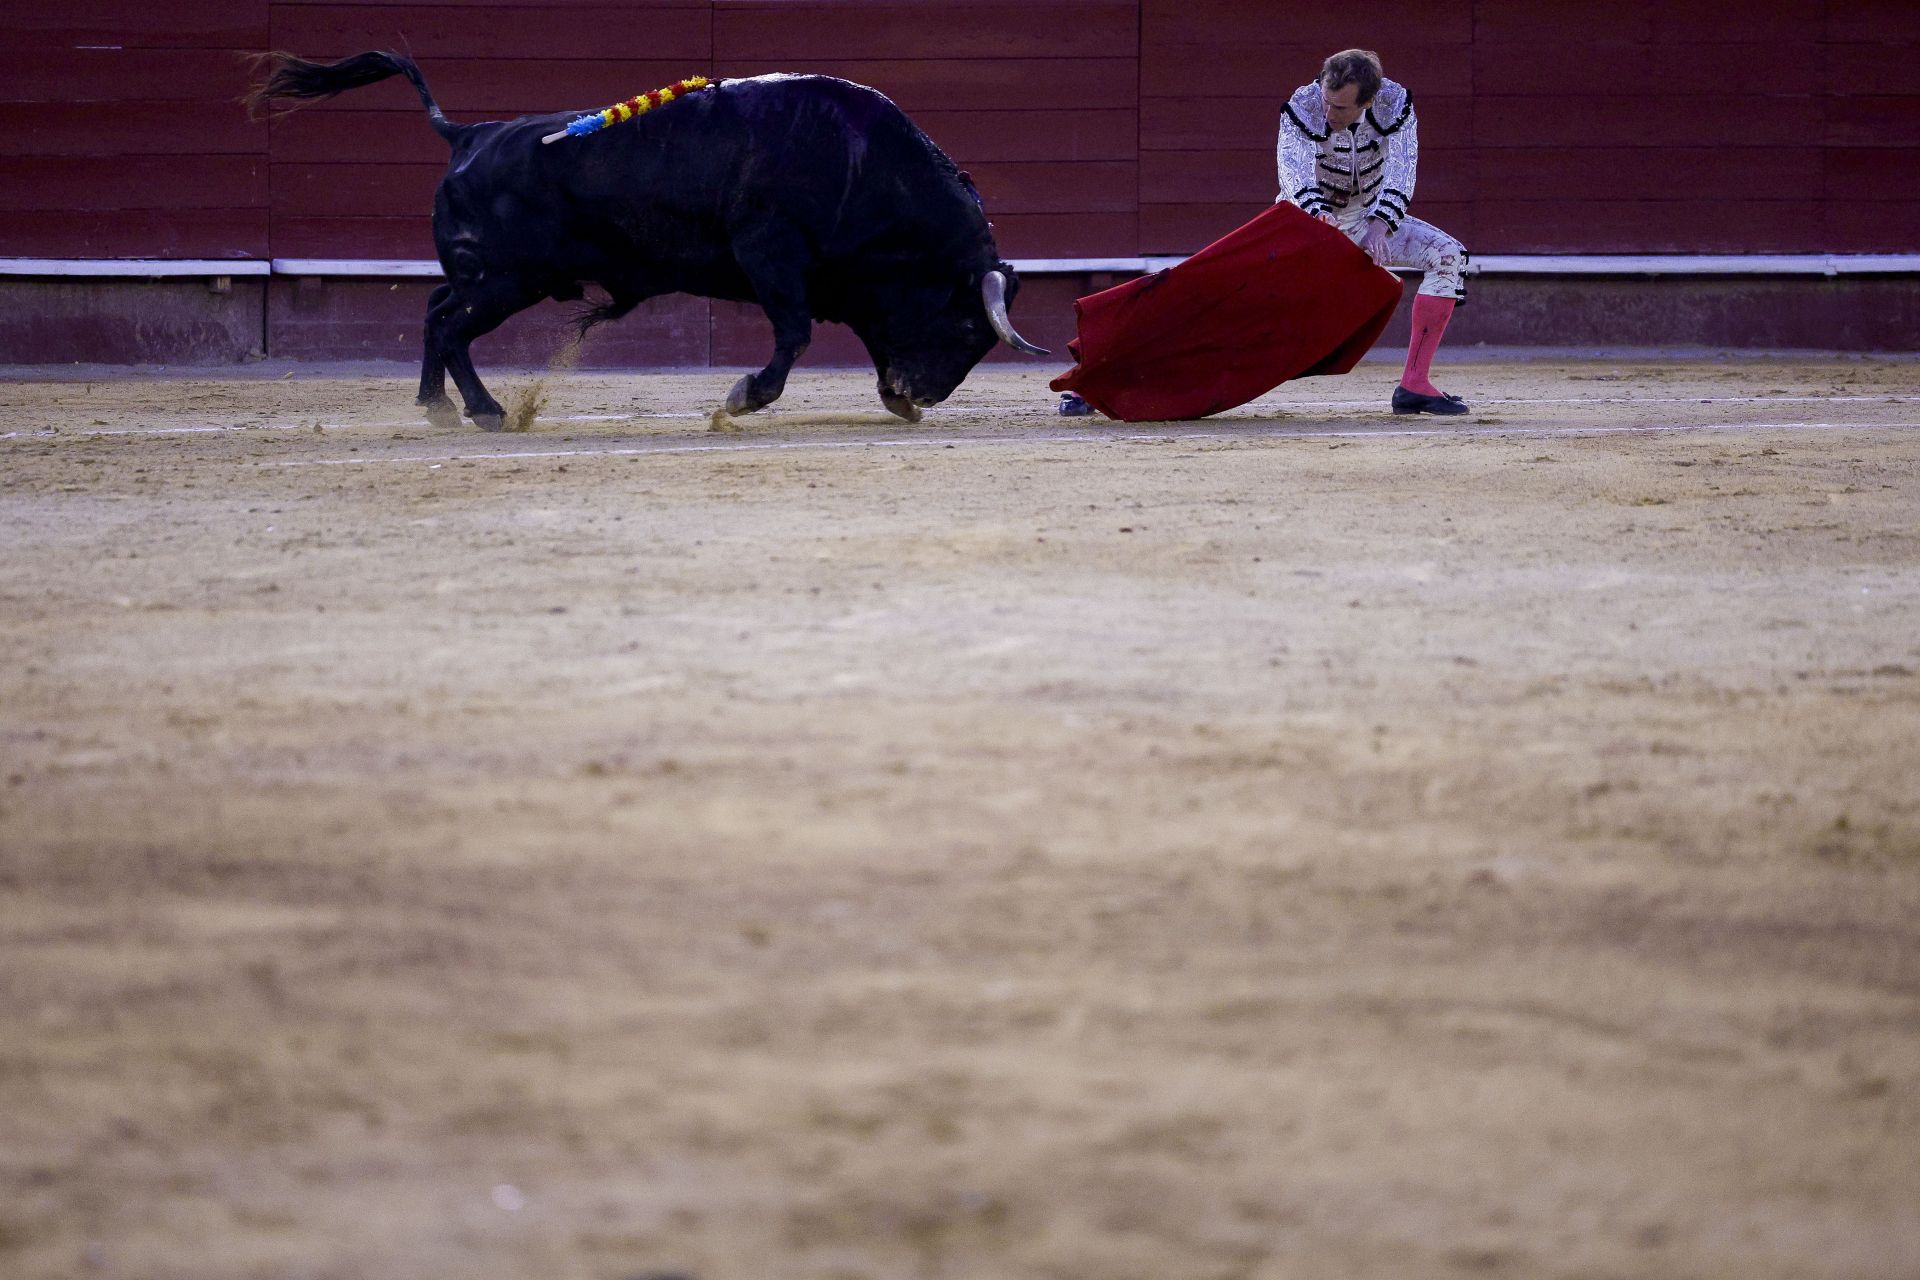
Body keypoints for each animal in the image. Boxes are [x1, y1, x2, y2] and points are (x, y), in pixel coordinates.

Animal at [251, 53, 1052, 429]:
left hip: (487, 275)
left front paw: (893, 401)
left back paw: (437, 406)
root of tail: (465, 136)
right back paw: (484, 411)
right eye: (966, 326)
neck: (864, 166)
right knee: (449, 324)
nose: (927, 393)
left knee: (434, 310)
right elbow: (792, 336)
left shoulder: (837, 280)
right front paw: (742, 398)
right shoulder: (772, 253)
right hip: (507, 280)